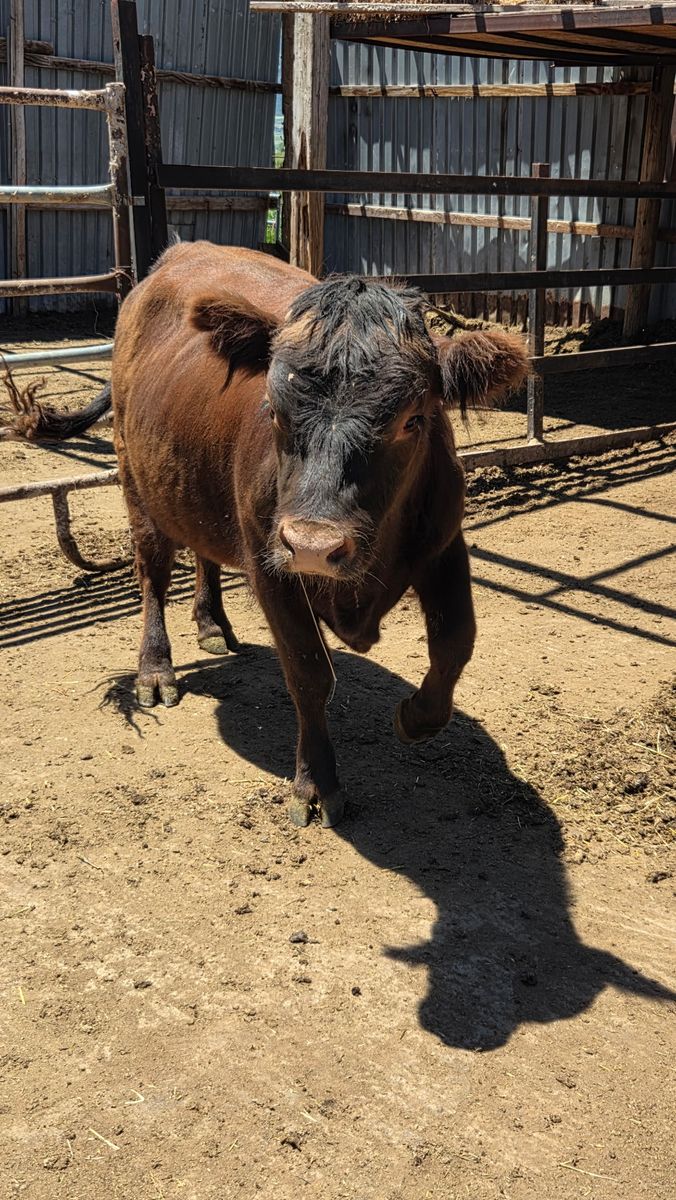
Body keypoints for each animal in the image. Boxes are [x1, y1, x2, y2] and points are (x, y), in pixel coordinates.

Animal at [7, 243, 528, 827]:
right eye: (274, 410)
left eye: (413, 420)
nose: (313, 546)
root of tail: (177, 255)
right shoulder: (270, 565)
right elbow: (309, 673)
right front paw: (316, 784)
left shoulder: (443, 546)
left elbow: (456, 642)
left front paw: (415, 717)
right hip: (137, 484)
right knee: (153, 576)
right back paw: (156, 671)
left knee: (204, 553)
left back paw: (212, 623)